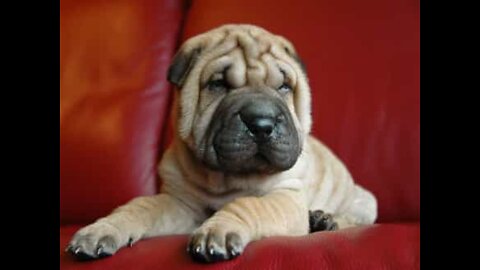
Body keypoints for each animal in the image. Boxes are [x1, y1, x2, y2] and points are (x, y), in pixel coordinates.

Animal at [65, 24, 376, 262]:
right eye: (218, 85)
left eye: (284, 87)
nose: (261, 123)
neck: (227, 179)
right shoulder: (180, 203)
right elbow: (142, 205)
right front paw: (101, 229)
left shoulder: (285, 197)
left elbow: (249, 204)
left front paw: (219, 230)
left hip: (364, 200)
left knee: (355, 219)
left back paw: (325, 220)